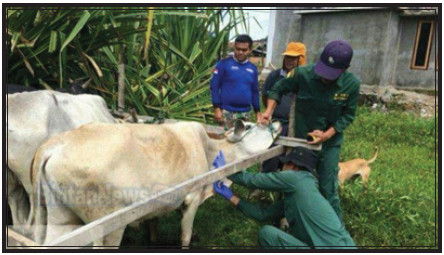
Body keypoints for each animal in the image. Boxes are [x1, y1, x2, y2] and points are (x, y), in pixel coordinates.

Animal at [29, 120, 280, 248]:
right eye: (251, 125)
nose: (276, 122)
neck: (209, 149)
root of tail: (56, 143)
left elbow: (153, 228)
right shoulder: (192, 199)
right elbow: (186, 237)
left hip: (61, 217)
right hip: (109, 226)